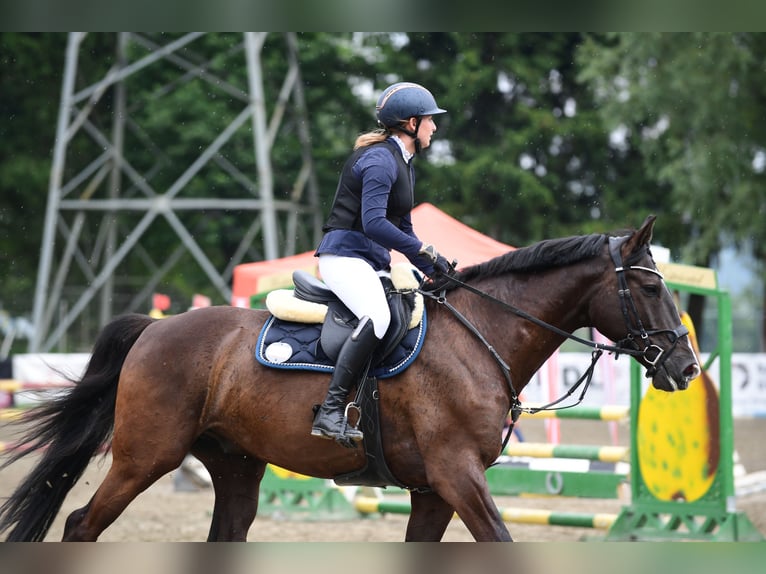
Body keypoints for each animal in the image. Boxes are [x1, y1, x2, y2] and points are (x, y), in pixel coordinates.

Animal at [0, 217, 704, 544]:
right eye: (649, 287)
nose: (686, 369)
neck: (482, 334)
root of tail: (154, 328)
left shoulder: (434, 491)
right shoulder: (458, 476)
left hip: (234, 465)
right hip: (145, 455)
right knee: (81, 525)